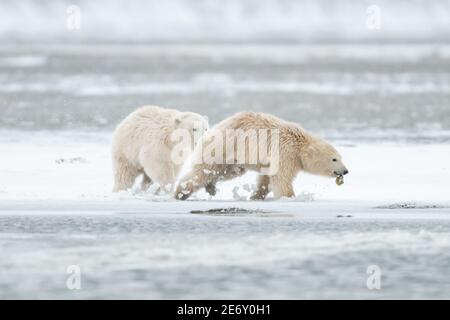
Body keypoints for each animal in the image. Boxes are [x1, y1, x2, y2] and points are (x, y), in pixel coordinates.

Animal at [175, 111, 348, 199]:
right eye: (334, 159)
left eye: (341, 157)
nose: (345, 171)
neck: (299, 144)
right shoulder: (285, 152)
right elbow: (281, 178)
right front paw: (289, 197)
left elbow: (267, 177)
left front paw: (257, 195)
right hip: (223, 147)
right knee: (205, 170)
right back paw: (181, 192)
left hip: (234, 157)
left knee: (225, 171)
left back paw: (210, 187)